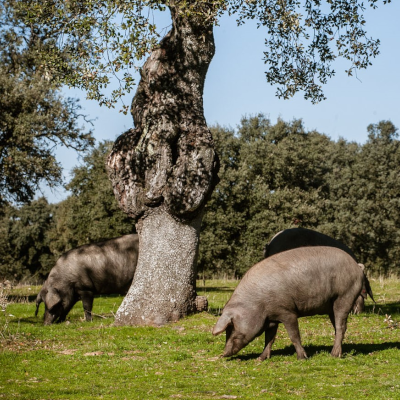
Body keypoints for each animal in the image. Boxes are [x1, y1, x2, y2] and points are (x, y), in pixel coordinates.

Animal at [214, 245, 374, 360]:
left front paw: (302, 358)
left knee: (341, 325)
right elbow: (269, 338)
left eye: (231, 328)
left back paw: (333, 355)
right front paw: (260, 359)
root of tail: (357, 266)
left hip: (345, 295)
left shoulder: (287, 311)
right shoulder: (271, 317)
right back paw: (339, 351)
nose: (223, 354)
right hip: (331, 305)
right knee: (339, 326)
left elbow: (294, 335)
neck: (257, 303)